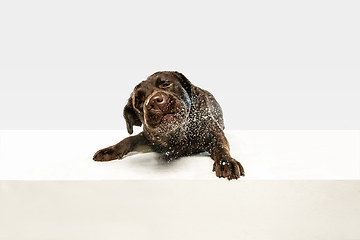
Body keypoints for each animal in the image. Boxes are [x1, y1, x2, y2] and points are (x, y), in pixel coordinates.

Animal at [93, 70, 245, 179]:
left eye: (166, 84)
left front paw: (227, 162)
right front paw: (110, 150)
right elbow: (128, 139)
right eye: (139, 101)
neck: (178, 134)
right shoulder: (148, 138)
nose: (154, 101)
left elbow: (221, 148)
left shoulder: (214, 134)